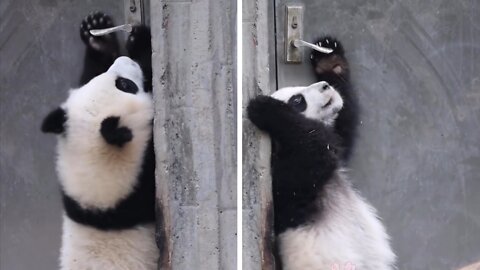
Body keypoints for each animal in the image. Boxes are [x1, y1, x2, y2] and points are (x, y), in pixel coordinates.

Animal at [248, 37, 394, 268]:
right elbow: (312, 150)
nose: (325, 86)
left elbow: (341, 133)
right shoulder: (287, 182)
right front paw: (264, 108)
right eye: (297, 100)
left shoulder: (335, 145)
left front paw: (328, 57)